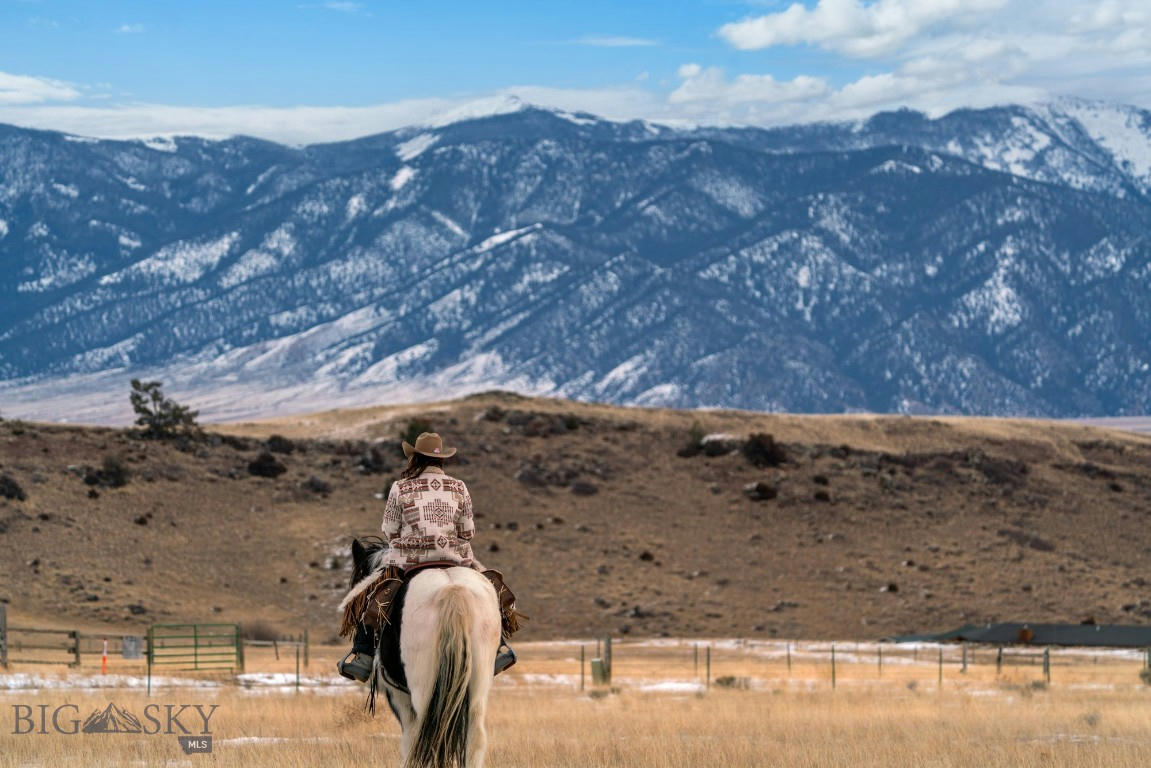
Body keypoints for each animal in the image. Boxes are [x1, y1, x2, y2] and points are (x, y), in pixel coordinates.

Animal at [342, 541, 501, 768]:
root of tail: (453, 590)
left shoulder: (398, 695)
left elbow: (410, 740)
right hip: (479, 685)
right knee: (475, 739)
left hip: (423, 688)